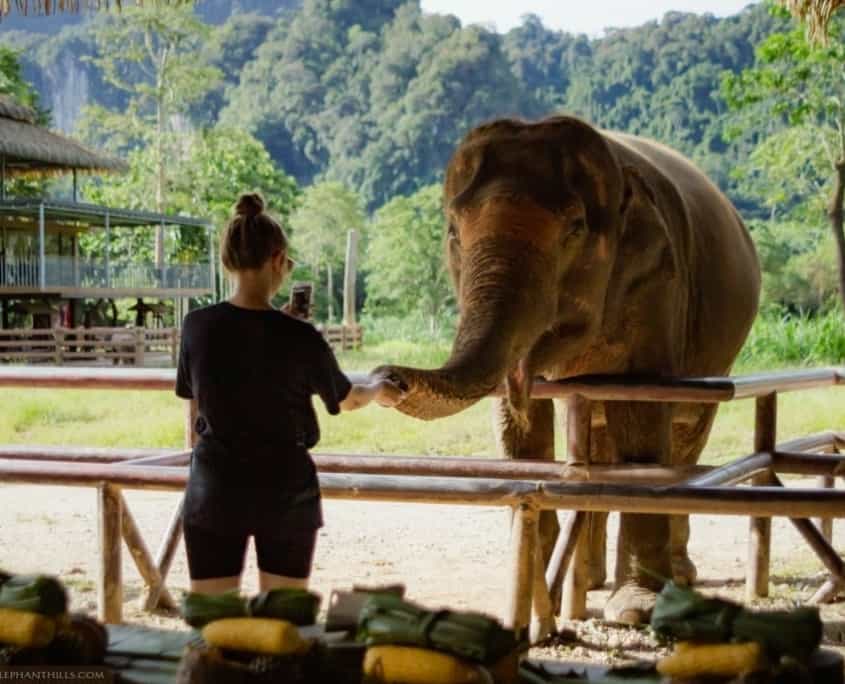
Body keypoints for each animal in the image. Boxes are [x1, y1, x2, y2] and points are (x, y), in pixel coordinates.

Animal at [373, 115, 761, 623]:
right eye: (454, 231)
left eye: (574, 230)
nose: (386, 379)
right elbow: (521, 433)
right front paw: (543, 595)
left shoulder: (658, 286)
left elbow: (641, 414)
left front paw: (633, 609)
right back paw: (592, 579)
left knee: (684, 439)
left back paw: (678, 579)